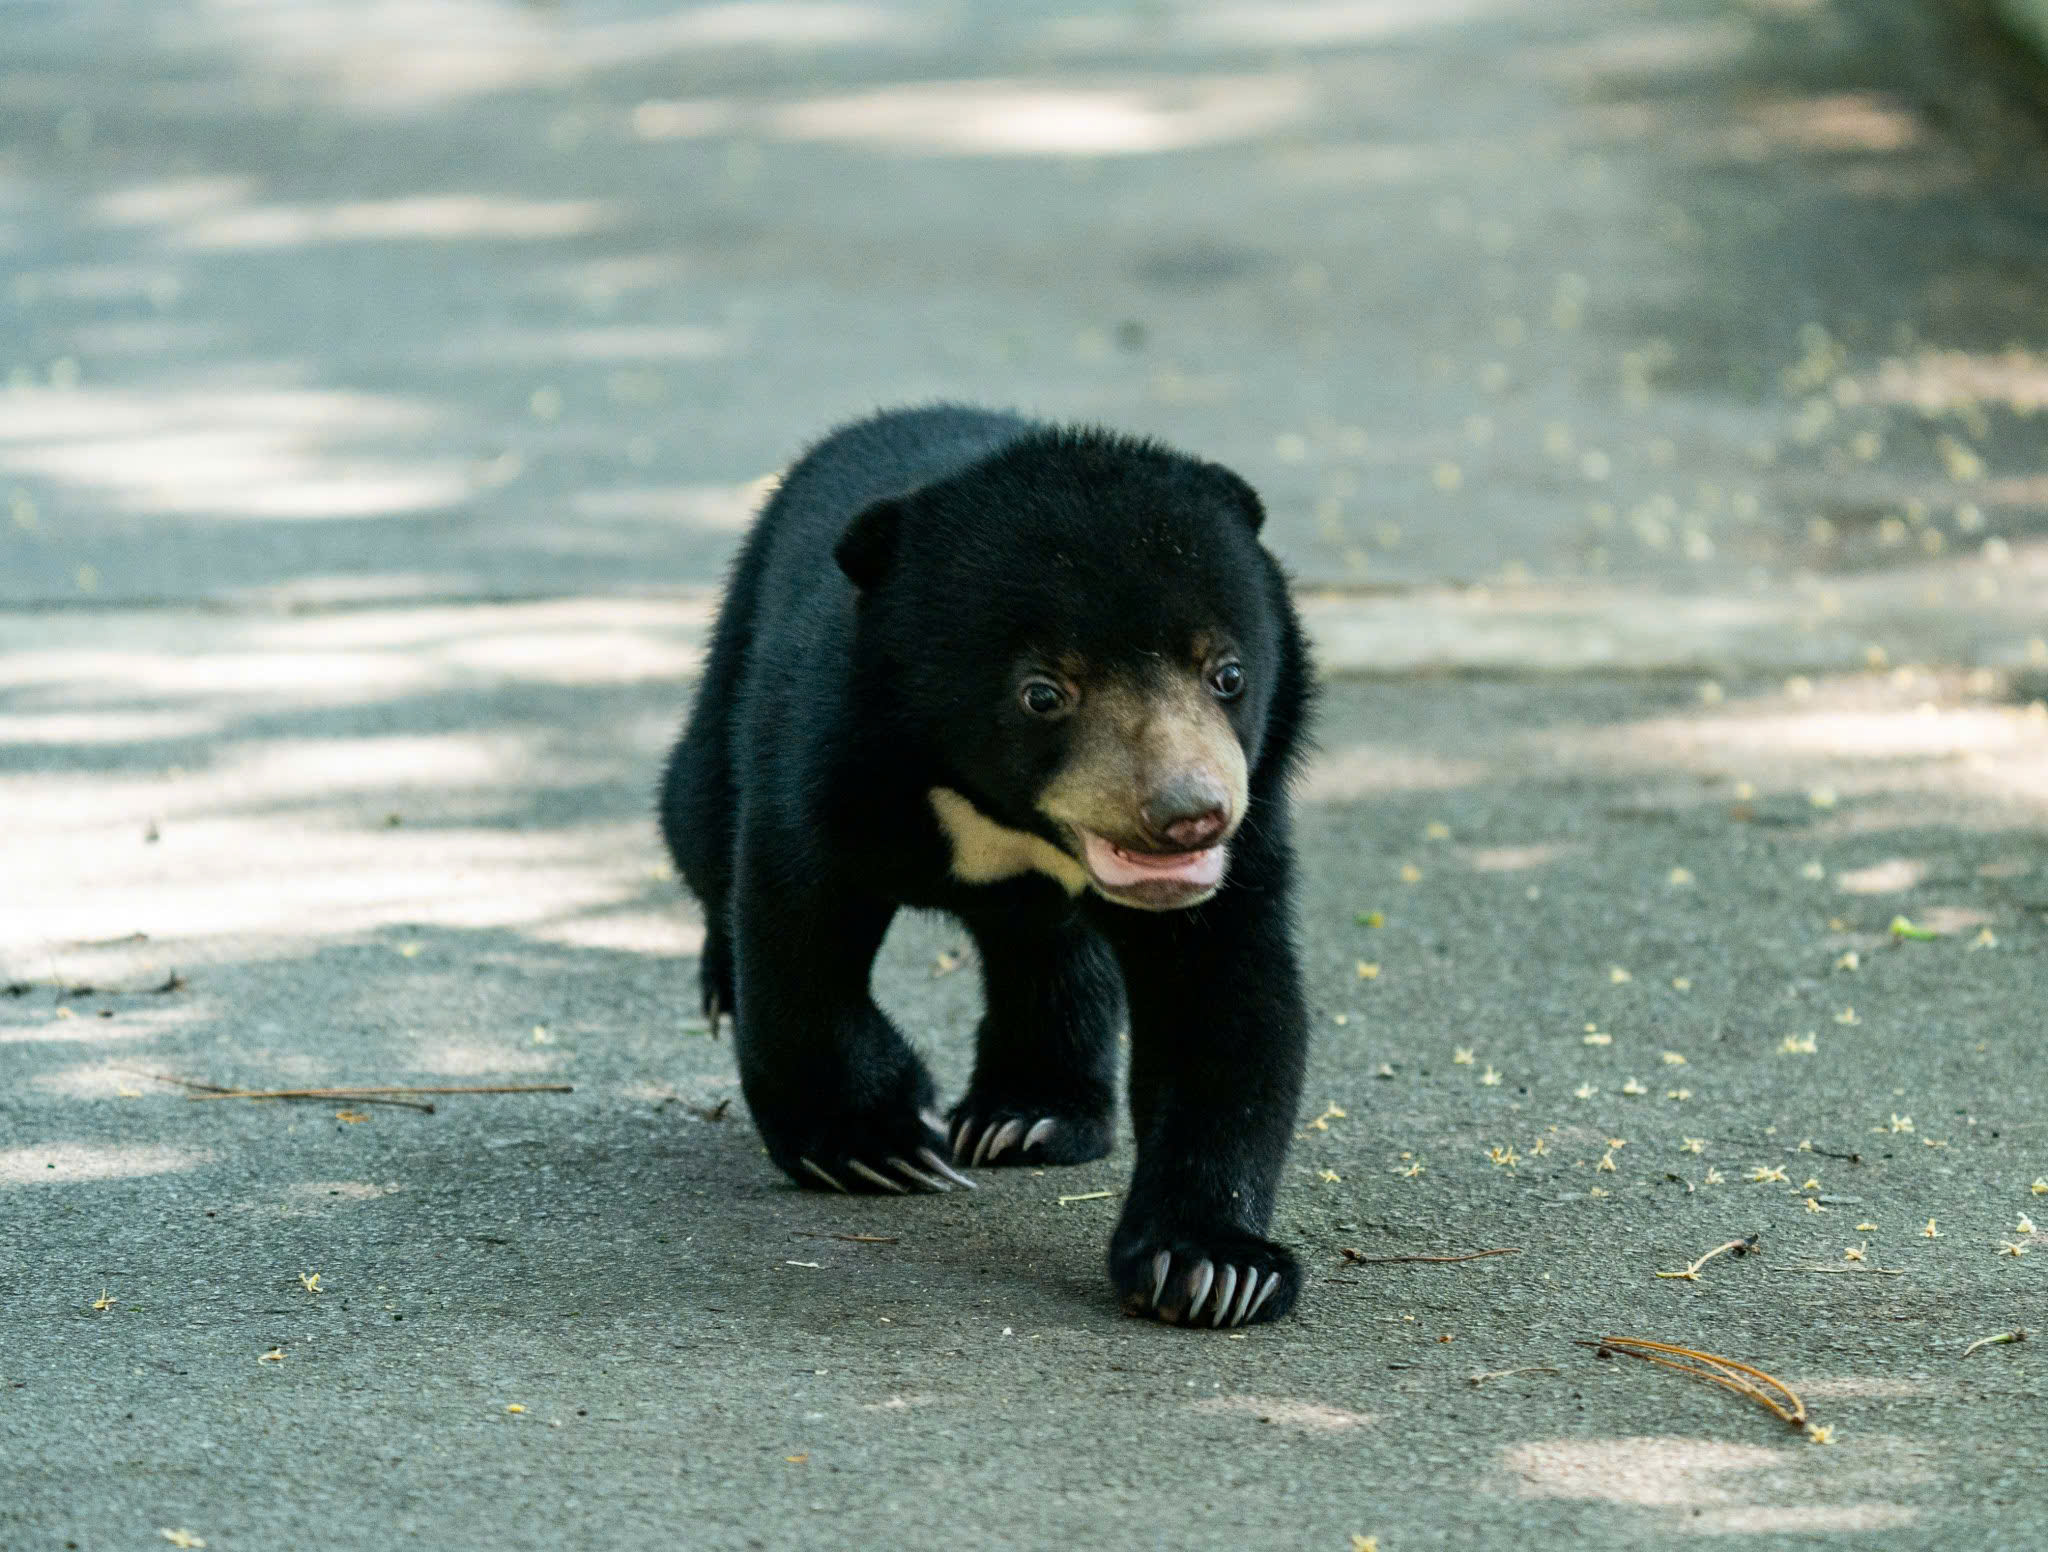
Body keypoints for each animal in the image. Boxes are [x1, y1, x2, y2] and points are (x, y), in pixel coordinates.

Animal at [663, 403, 1318, 1326]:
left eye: (1226, 673)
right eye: (1042, 692)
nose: (1188, 815)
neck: (1005, 821)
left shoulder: (1245, 848)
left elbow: (1226, 1000)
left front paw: (1213, 1270)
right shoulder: (830, 748)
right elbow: (799, 932)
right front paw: (877, 1146)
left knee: (1050, 954)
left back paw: (1027, 1118)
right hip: (734, 658)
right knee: (695, 820)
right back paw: (723, 982)